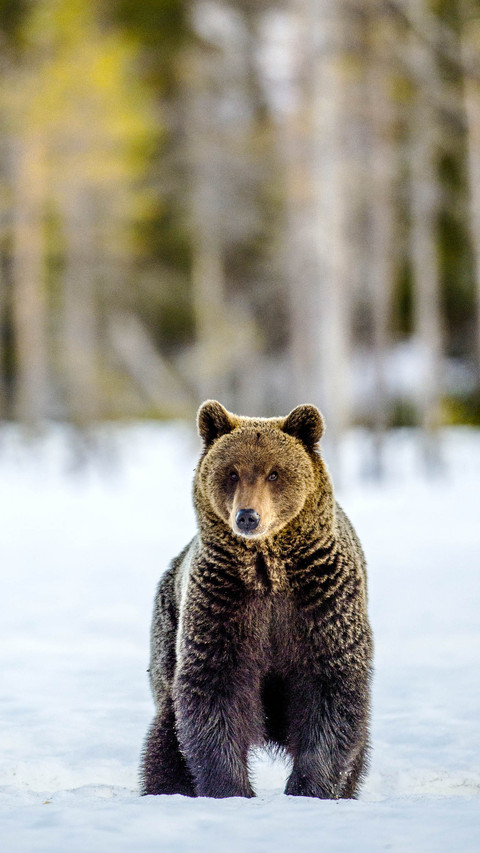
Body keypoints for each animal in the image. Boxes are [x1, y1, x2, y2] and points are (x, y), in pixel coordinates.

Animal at [140, 400, 373, 799]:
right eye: (232, 473)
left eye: (274, 473)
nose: (247, 516)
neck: (269, 570)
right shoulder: (223, 601)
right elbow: (213, 691)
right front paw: (230, 788)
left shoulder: (322, 600)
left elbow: (332, 690)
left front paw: (310, 787)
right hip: (167, 636)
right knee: (166, 733)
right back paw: (166, 787)